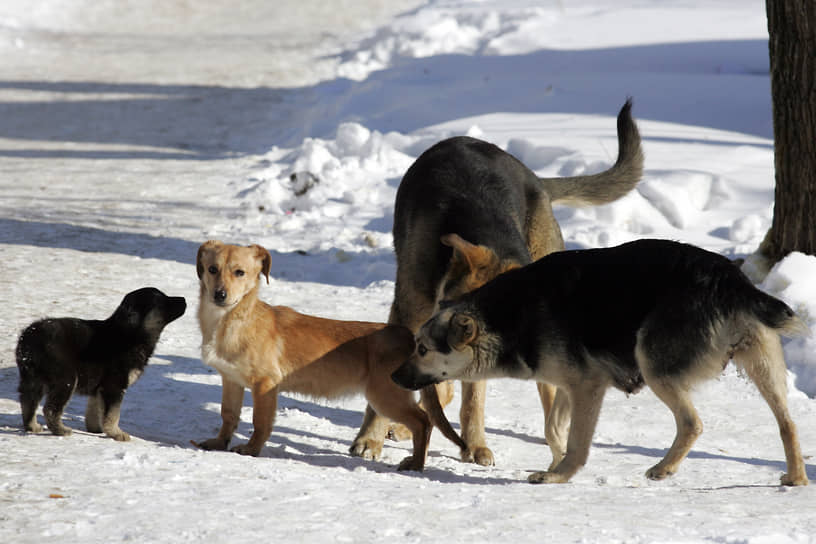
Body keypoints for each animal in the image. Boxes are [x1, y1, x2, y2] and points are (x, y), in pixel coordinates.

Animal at [16, 286, 186, 440]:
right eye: (161, 300)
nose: (184, 299)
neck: (131, 333)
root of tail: (29, 338)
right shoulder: (114, 386)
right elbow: (112, 414)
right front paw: (116, 434)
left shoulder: (100, 387)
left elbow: (96, 409)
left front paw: (96, 429)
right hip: (66, 378)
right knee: (50, 409)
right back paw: (61, 430)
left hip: (32, 378)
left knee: (28, 401)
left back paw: (32, 426)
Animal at [192, 240, 468, 470]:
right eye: (212, 269)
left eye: (240, 272)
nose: (219, 295)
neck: (231, 320)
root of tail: (408, 337)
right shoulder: (231, 380)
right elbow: (228, 415)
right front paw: (219, 443)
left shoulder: (265, 385)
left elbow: (260, 422)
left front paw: (251, 449)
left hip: (386, 396)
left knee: (423, 422)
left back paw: (416, 464)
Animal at [394, 240, 808, 486]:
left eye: (422, 349)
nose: (395, 376)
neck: (508, 317)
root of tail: (732, 281)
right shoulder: (569, 385)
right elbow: (553, 429)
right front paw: (556, 464)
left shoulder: (588, 386)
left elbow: (577, 441)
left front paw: (560, 475)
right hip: (763, 364)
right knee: (787, 423)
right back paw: (796, 477)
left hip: (653, 364)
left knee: (692, 423)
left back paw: (665, 467)